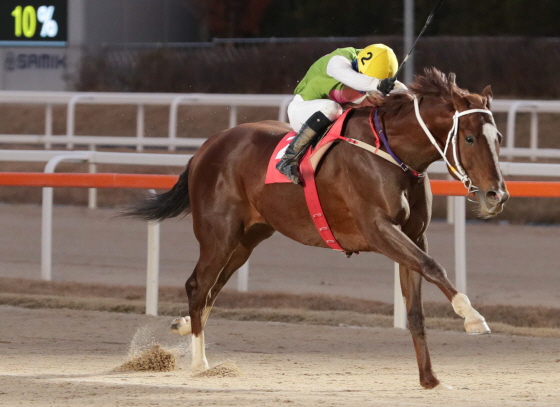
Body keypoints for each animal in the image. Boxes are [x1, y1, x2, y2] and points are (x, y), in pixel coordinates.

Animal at [124, 68, 510, 390]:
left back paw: (185, 326)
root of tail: (206, 147)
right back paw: (200, 363)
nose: (497, 194)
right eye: (470, 138)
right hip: (218, 234)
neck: (393, 153)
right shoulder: (378, 229)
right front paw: (473, 317)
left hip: (248, 238)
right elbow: (434, 267)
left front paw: (429, 379)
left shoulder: (413, 235)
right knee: (197, 285)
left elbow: (415, 308)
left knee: (212, 288)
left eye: (499, 137)